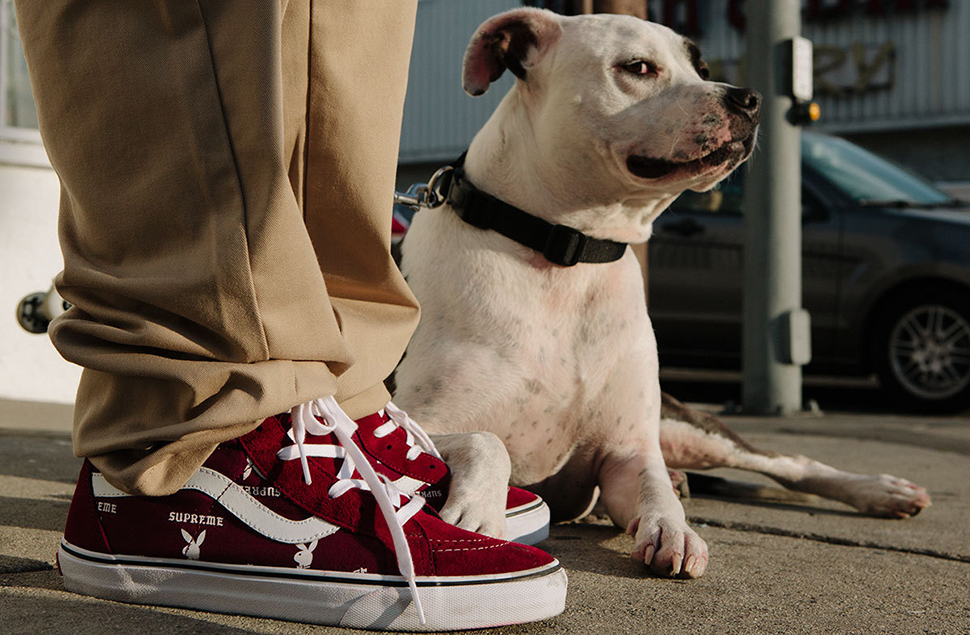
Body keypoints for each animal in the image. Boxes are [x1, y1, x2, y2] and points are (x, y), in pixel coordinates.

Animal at [396, 7, 932, 580]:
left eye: (701, 67)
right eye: (638, 67)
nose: (748, 98)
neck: (566, 255)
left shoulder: (628, 451)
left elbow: (654, 488)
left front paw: (673, 528)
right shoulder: (405, 415)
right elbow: (487, 438)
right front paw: (478, 513)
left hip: (689, 427)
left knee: (790, 462)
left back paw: (881, 491)